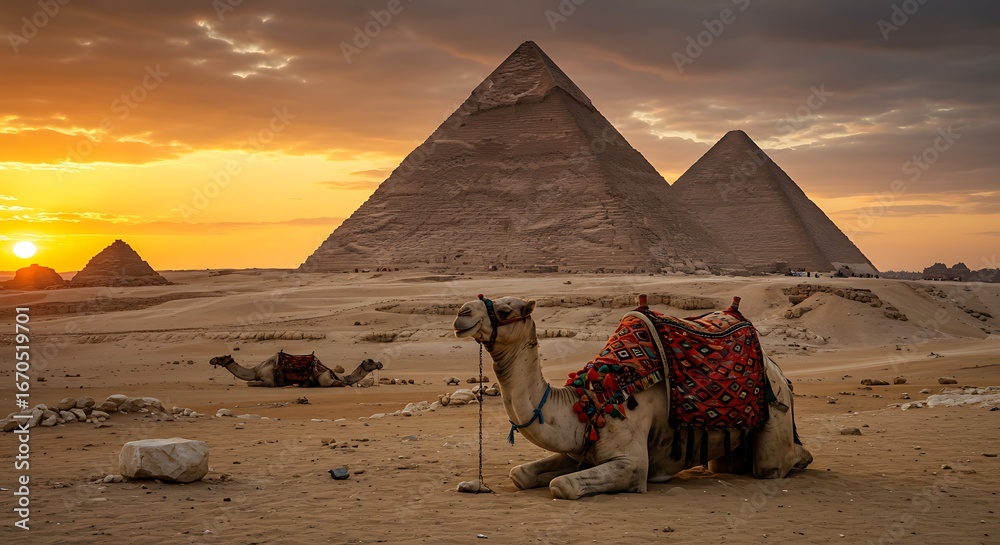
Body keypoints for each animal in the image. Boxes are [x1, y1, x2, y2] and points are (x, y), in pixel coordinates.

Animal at [453, 295, 812, 500]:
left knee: (774, 465)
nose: (461, 313)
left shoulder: (631, 462)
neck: (590, 402)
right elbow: (520, 474)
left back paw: (801, 461)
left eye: (504, 310)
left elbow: (563, 486)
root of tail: (778, 370)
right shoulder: (579, 449)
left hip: (775, 412)